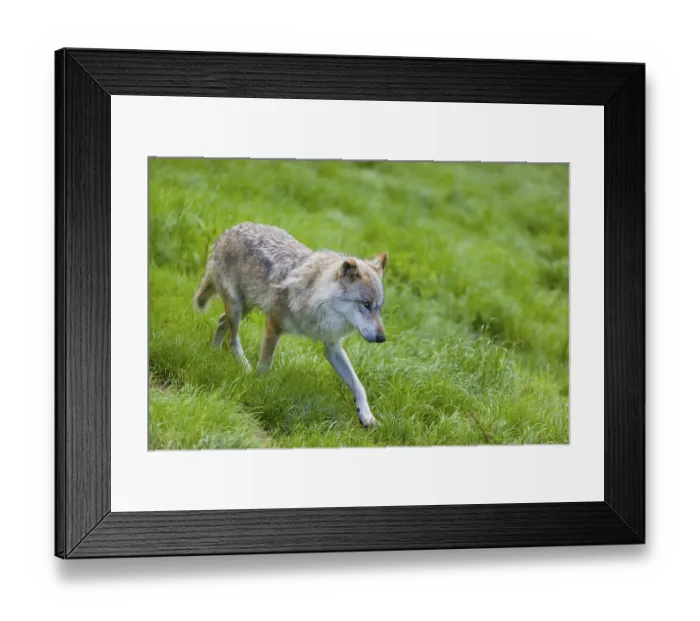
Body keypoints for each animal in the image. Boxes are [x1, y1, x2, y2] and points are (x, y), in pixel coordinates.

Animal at [193, 222, 388, 428]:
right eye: (366, 304)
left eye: (378, 308)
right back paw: (244, 367)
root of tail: (229, 231)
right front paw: (258, 387)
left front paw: (366, 415)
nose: (382, 338)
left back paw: (213, 352)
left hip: (246, 307)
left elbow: (358, 385)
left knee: (221, 322)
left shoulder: (332, 346)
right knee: (233, 339)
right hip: (237, 308)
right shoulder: (273, 326)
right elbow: (264, 366)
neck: (316, 300)